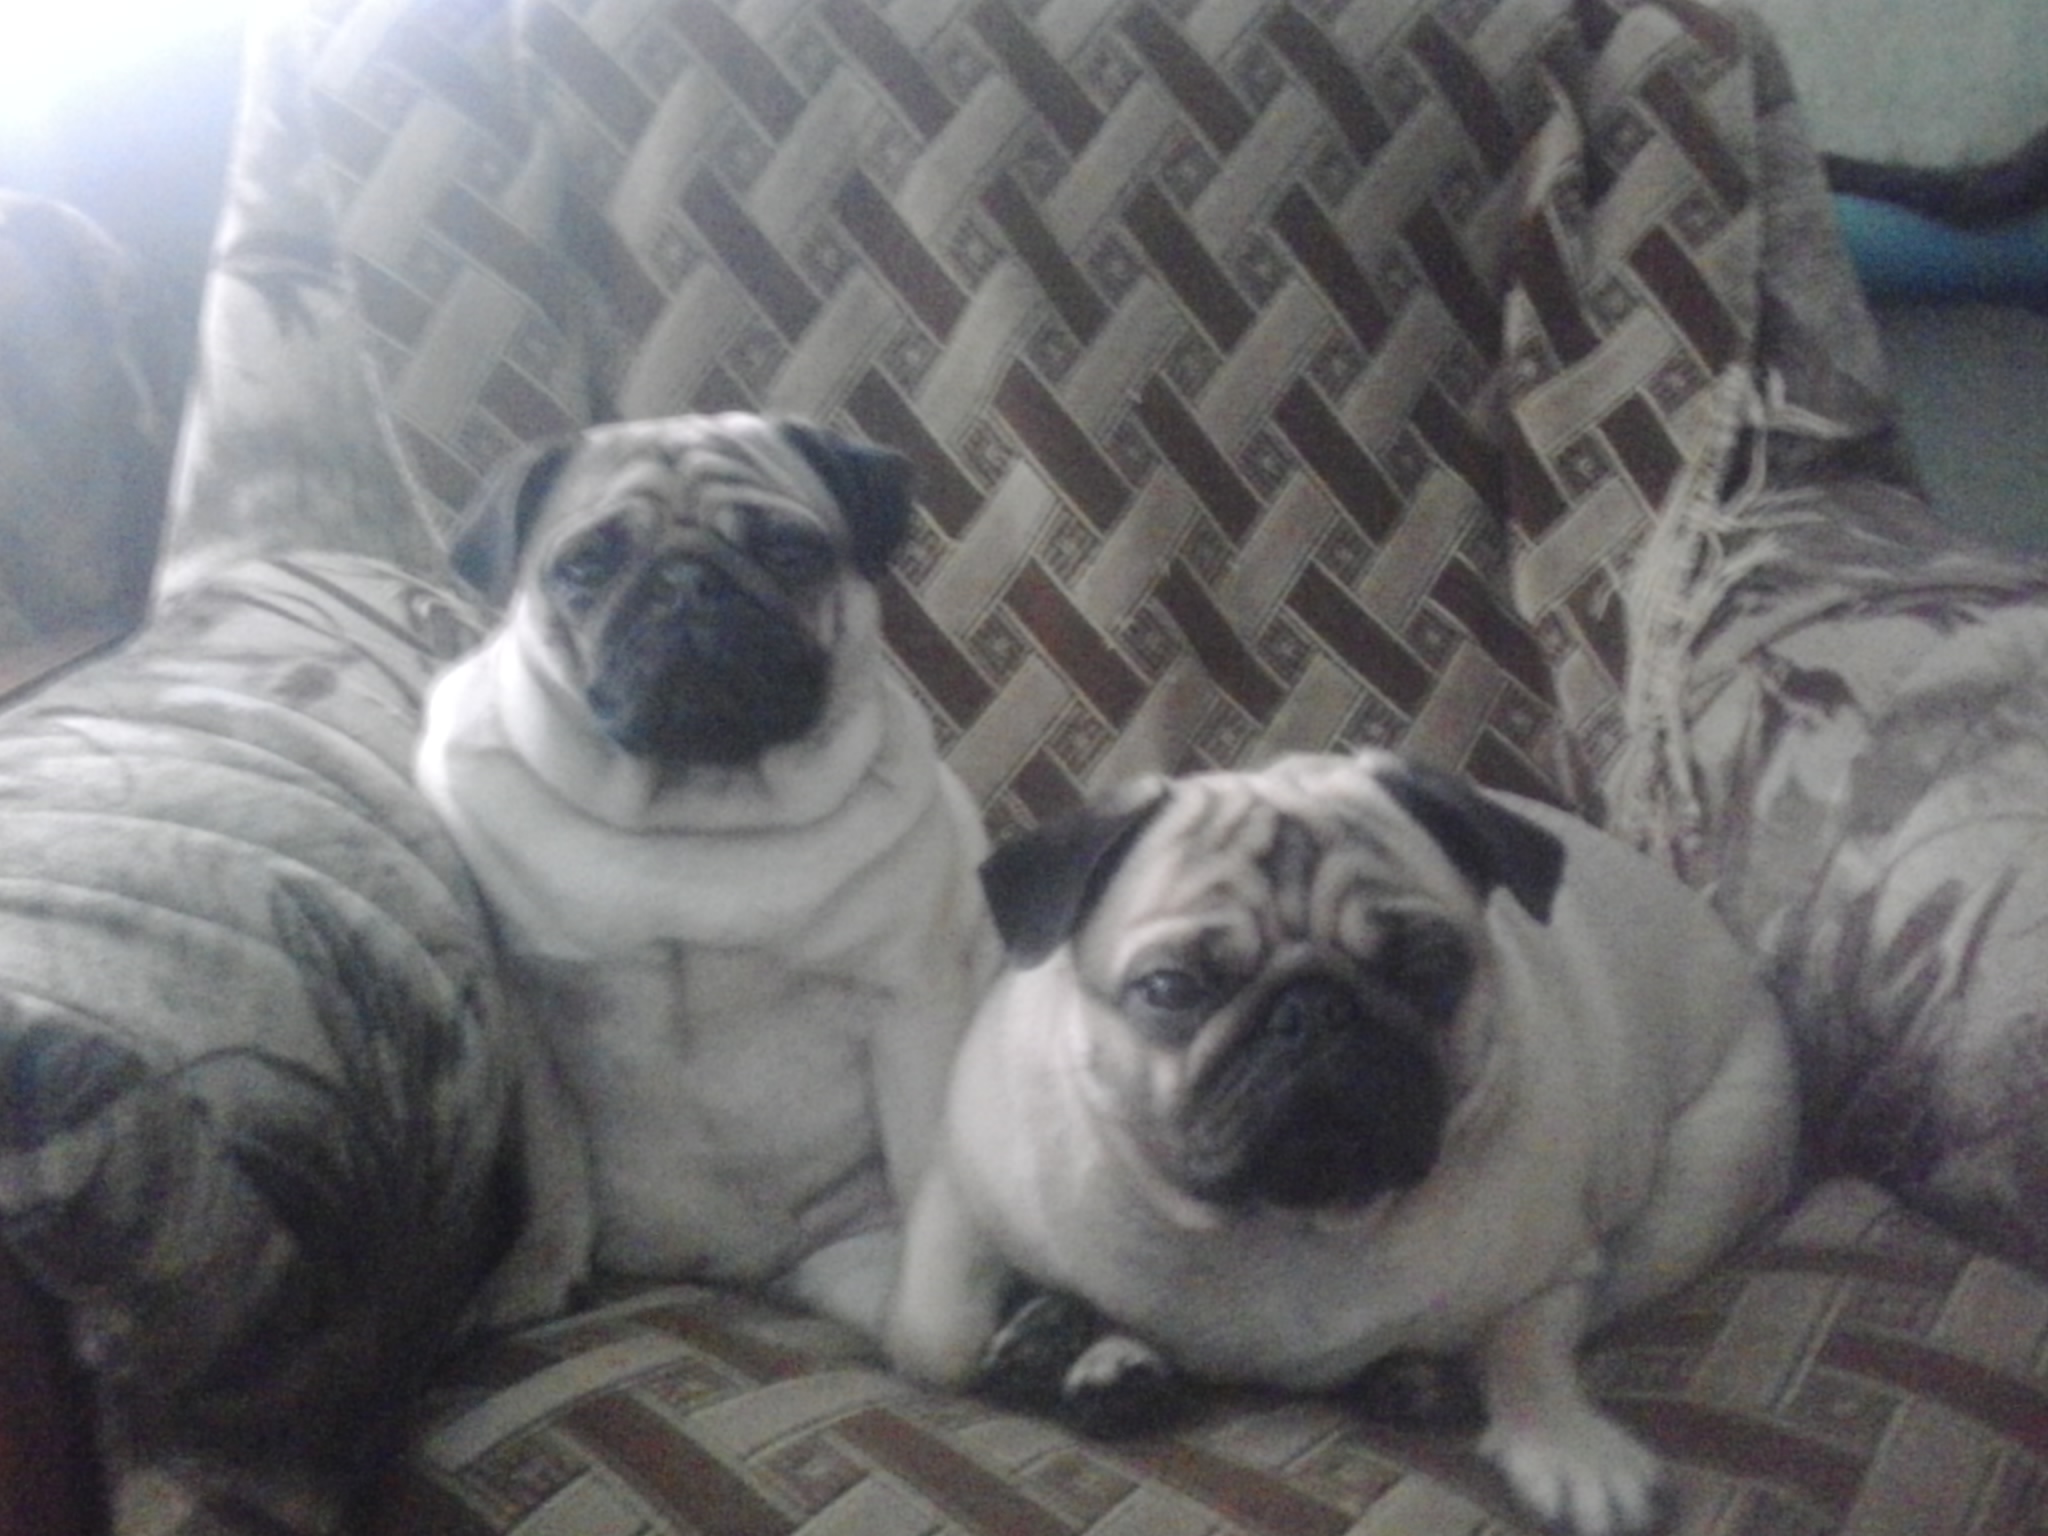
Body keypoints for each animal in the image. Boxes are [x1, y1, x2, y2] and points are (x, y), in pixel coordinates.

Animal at [414, 413, 999, 1337]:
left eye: (791, 551)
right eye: (586, 566)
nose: (687, 582)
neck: (697, 813)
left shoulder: (910, 1003)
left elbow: (922, 1167)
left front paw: (940, 1314)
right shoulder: (533, 1026)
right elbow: (556, 1172)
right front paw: (535, 1279)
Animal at [885, 749, 1796, 1536]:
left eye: (1427, 966)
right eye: (1172, 988)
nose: (1312, 1010)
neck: (1289, 1221)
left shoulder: (1557, 1273)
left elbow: (1525, 1350)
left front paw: (1570, 1447)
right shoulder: (967, 1180)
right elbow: (937, 1335)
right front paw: (1059, 1341)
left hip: (1699, 1192)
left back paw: (1411, 1378)